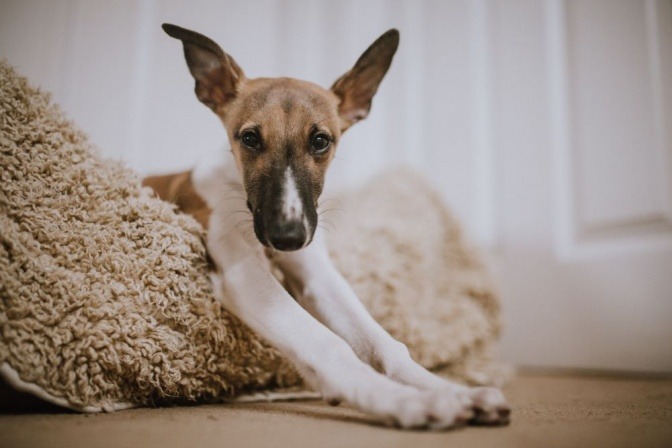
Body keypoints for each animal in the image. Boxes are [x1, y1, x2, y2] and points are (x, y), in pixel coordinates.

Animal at [143, 24, 510, 430]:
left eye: (320, 141)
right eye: (250, 138)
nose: (287, 238)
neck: (234, 186)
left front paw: (450, 390)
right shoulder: (242, 272)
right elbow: (327, 344)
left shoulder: (317, 274)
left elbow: (385, 343)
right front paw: (405, 400)